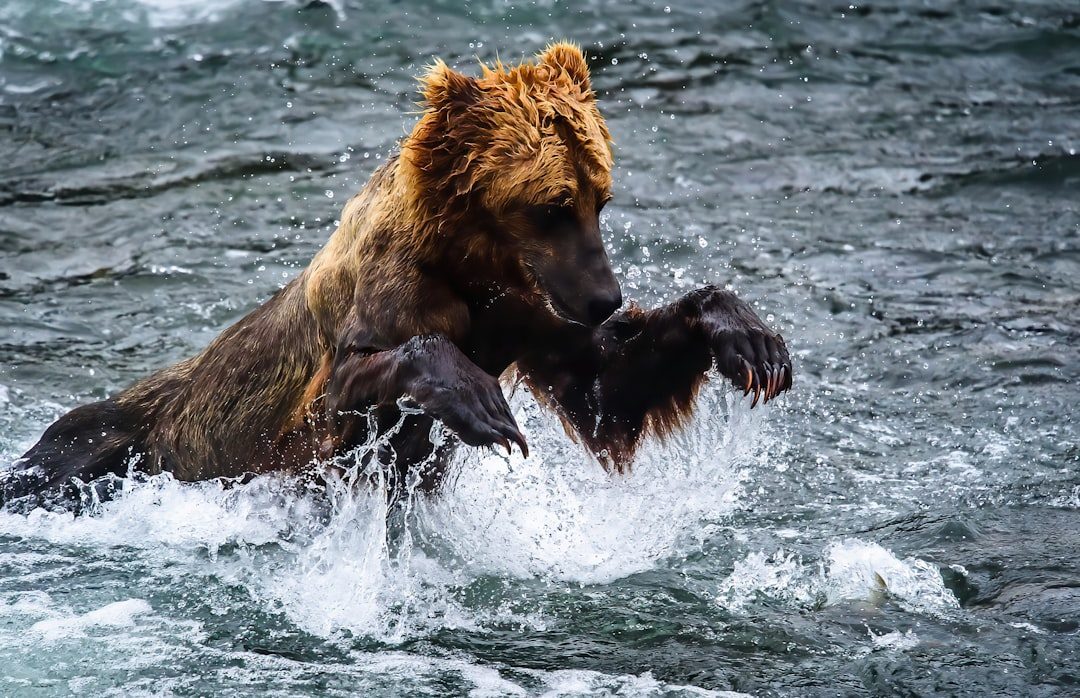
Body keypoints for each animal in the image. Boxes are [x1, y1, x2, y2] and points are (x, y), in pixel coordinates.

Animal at [1, 43, 791, 512]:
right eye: (551, 205)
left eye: (601, 197)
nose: (604, 298)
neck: (471, 263)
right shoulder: (375, 320)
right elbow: (357, 386)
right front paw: (481, 406)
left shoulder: (523, 315)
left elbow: (606, 388)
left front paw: (748, 338)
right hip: (126, 439)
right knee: (66, 450)